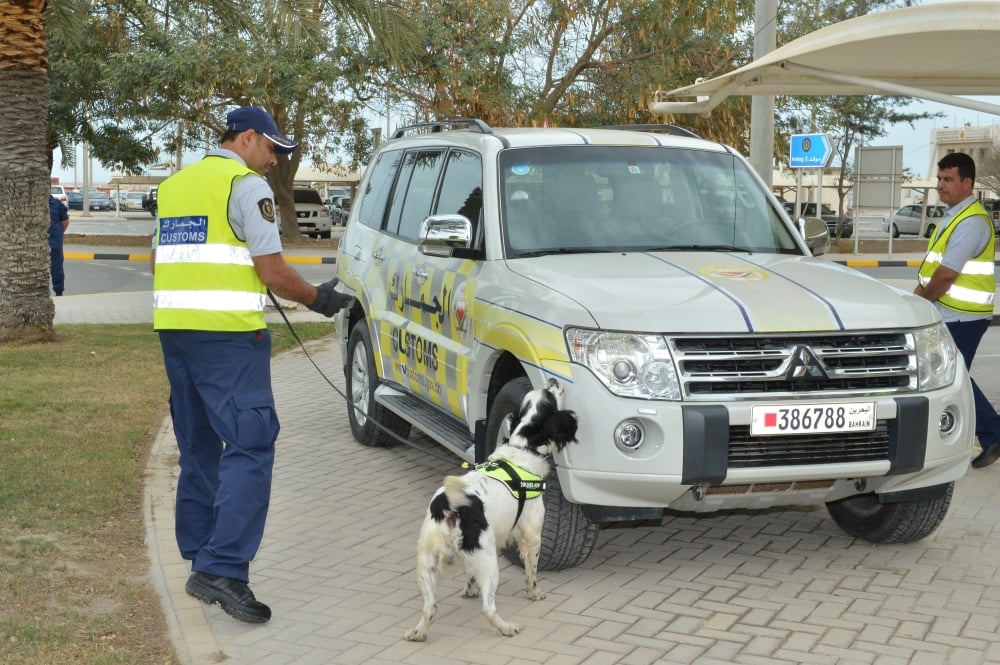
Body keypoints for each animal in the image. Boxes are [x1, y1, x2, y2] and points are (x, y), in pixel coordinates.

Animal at [402, 376, 580, 640]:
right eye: (550, 394)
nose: (553, 378)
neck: (522, 448)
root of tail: (450, 506)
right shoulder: (532, 534)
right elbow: (532, 570)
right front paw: (534, 592)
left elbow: (470, 575)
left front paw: (470, 589)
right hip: (489, 563)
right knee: (488, 608)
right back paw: (507, 627)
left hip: (427, 563)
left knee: (430, 606)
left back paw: (419, 632)